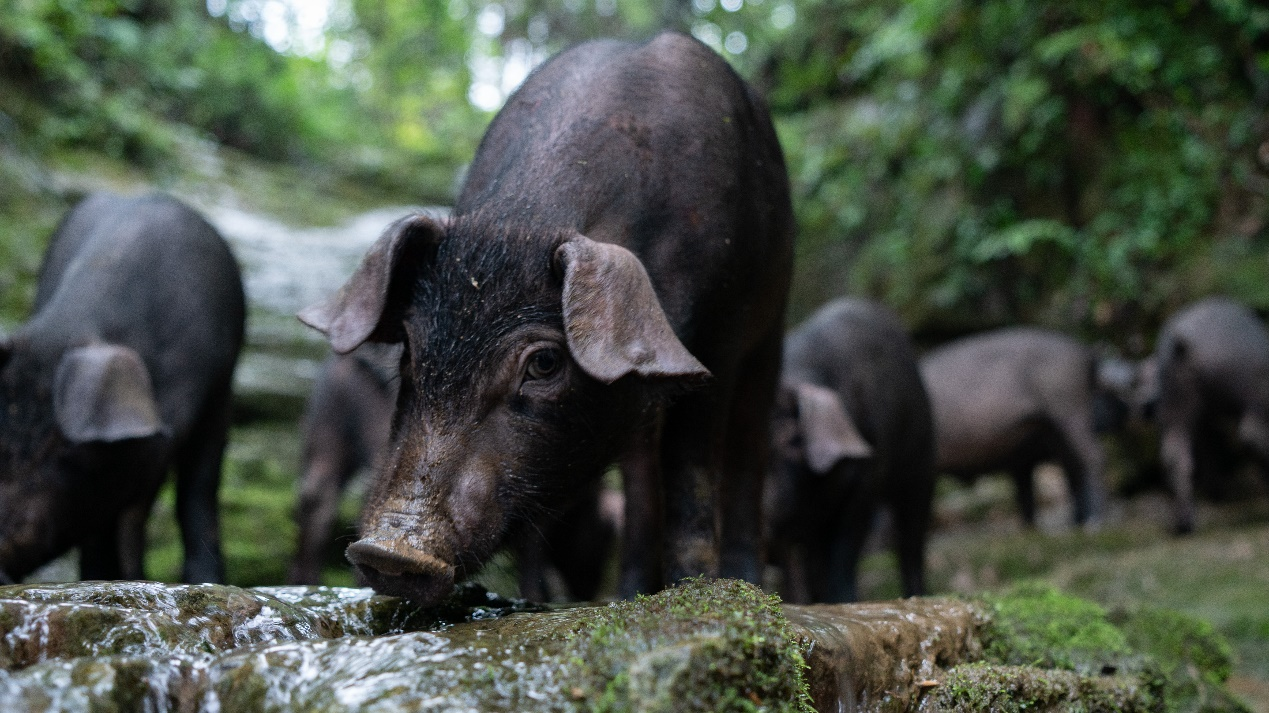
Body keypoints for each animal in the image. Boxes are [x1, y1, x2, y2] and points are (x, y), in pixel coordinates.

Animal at [299, 31, 791, 598]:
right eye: (408, 352)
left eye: (545, 363)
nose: (387, 551)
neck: (525, 224)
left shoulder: (720, 335)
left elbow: (693, 474)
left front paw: (701, 595)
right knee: (642, 480)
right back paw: (631, 594)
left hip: (772, 325)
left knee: (747, 446)